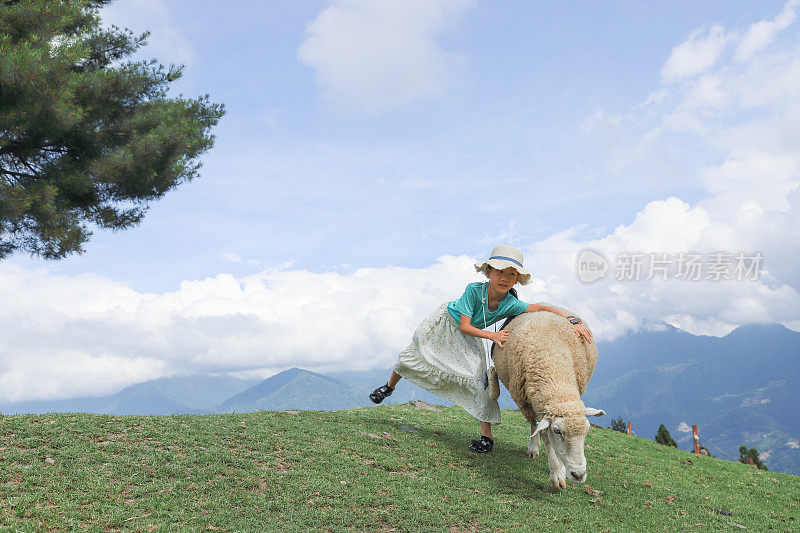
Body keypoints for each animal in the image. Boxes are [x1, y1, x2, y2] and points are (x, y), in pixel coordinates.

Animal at [490, 306, 604, 488]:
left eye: (587, 431)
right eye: (557, 431)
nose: (579, 475)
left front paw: (562, 470)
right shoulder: (526, 400)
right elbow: (544, 434)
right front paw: (556, 474)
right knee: (533, 424)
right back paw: (533, 448)